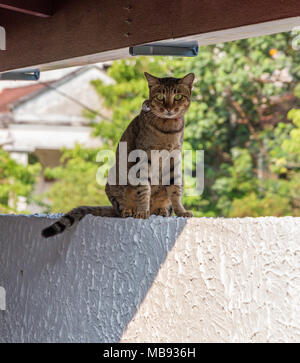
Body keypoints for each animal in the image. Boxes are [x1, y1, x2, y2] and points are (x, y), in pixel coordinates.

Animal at [41, 73, 195, 239]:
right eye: (160, 96)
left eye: (178, 96)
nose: (168, 108)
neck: (168, 130)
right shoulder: (143, 158)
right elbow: (144, 189)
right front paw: (142, 211)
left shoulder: (174, 160)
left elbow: (175, 190)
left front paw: (181, 211)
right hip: (114, 183)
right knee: (121, 208)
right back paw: (130, 210)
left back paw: (161, 209)